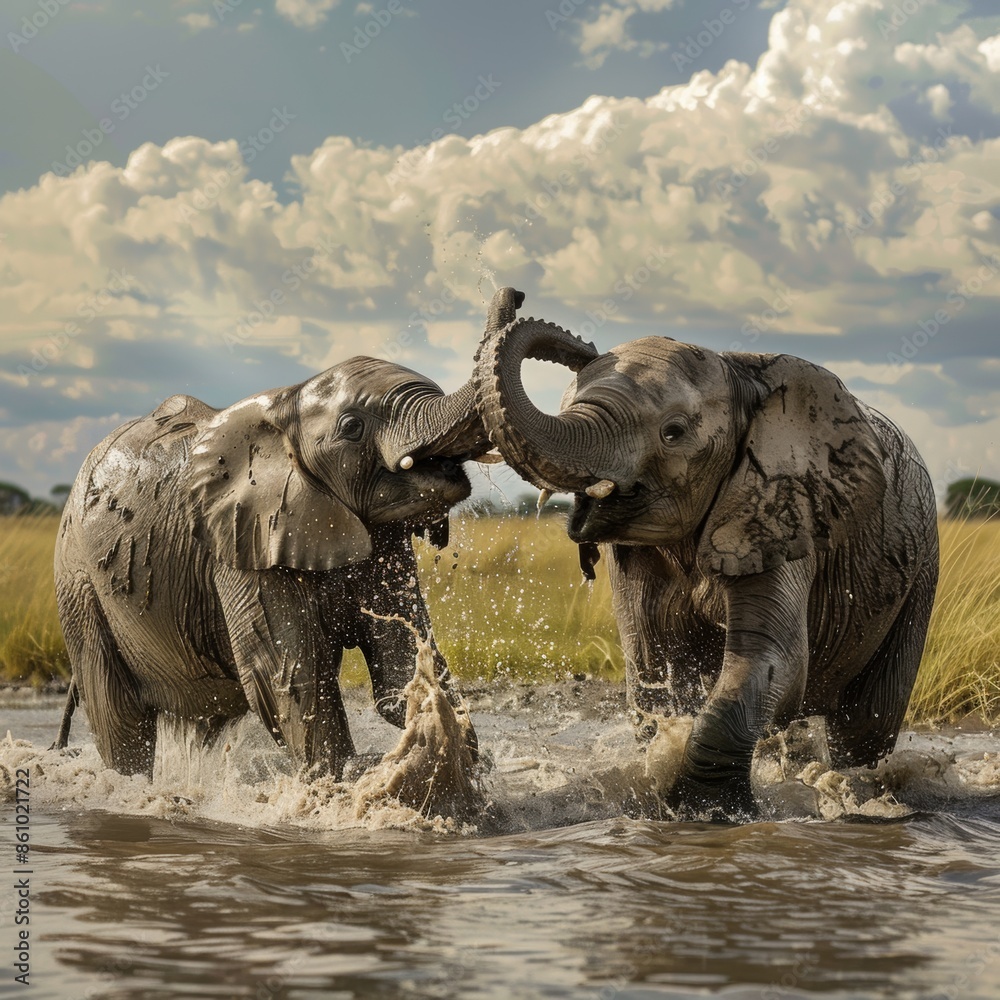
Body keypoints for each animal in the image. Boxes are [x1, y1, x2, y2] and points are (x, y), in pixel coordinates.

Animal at [52, 287, 525, 779]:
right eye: (352, 427)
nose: (514, 293)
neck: (287, 403)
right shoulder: (244, 546)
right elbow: (290, 678)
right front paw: (343, 782)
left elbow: (398, 669)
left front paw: (458, 770)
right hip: (80, 590)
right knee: (122, 724)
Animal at [475, 318, 939, 813]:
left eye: (673, 432)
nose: (583, 345)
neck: (740, 373)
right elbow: (652, 663)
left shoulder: (780, 512)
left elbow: (776, 659)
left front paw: (710, 809)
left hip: (920, 567)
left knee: (866, 722)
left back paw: (857, 788)